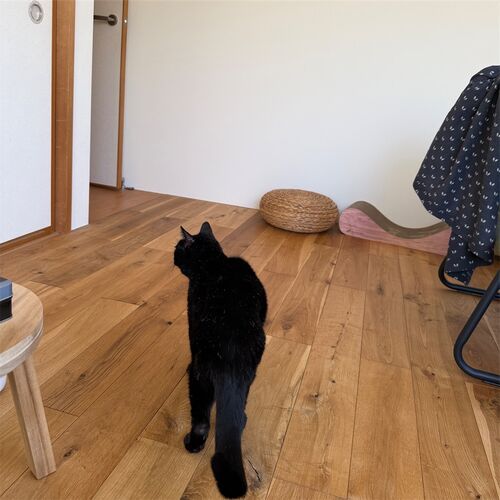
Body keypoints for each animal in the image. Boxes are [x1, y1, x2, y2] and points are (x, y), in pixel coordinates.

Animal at [174, 221, 267, 498]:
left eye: (178, 248)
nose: (172, 255)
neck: (215, 263)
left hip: (199, 376)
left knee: (201, 418)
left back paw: (193, 443)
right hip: (245, 376)